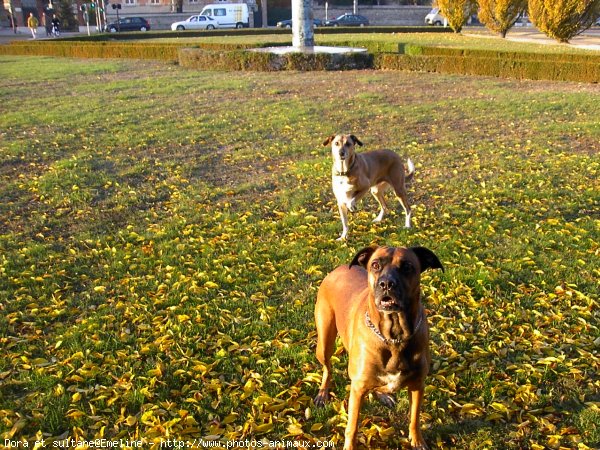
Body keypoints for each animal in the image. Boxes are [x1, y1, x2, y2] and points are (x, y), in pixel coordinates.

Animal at [314, 246, 440, 450]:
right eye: (375, 265)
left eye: (407, 266)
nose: (386, 283)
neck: (395, 336)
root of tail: (338, 269)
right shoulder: (357, 389)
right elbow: (352, 427)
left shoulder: (418, 385)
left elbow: (415, 417)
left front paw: (417, 441)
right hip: (324, 342)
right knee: (327, 368)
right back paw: (323, 392)